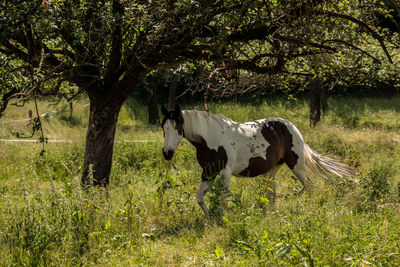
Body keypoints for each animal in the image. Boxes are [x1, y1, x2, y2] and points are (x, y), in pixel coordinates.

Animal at [161, 103, 354, 219]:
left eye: (177, 127)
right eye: (163, 127)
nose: (167, 153)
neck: (211, 138)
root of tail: (290, 126)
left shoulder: (225, 172)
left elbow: (222, 198)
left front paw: (221, 219)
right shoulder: (208, 172)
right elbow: (200, 198)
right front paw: (210, 219)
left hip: (297, 166)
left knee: (309, 186)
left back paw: (311, 209)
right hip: (271, 170)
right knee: (272, 194)